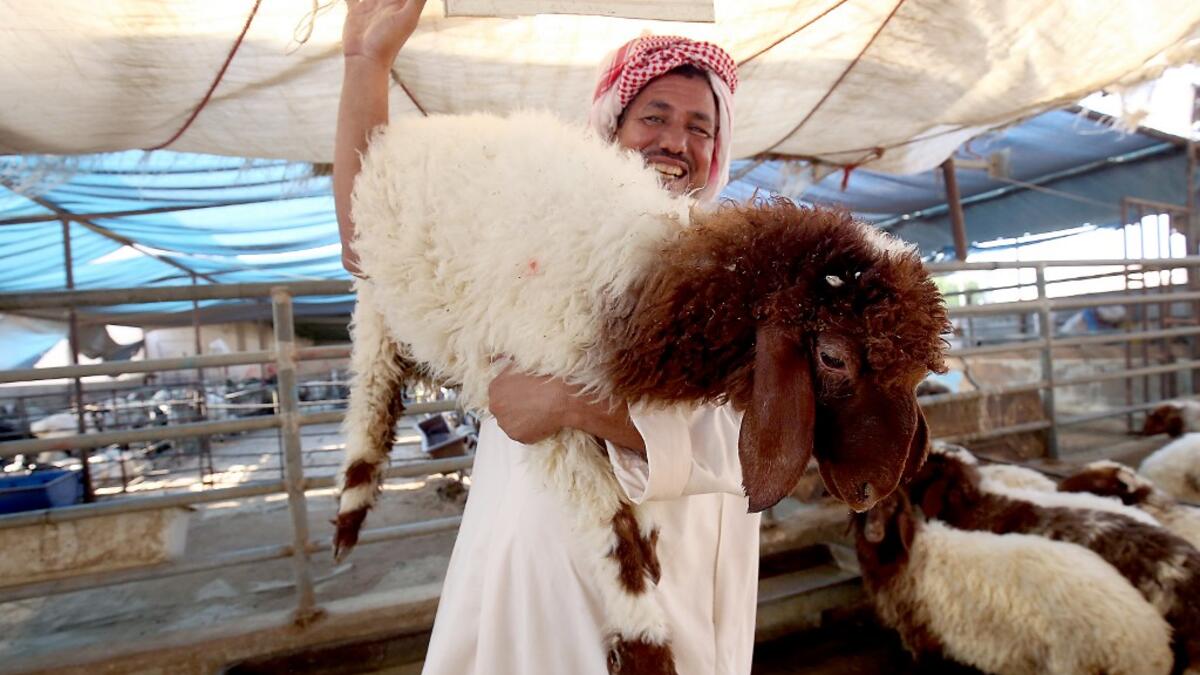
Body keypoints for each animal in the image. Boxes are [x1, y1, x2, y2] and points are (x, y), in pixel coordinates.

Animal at [855, 491, 1174, 675]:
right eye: (864, 510)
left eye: (893, 506)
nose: (873, 531)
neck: (909, 553)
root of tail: (1153, 646)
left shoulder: (922, 636)